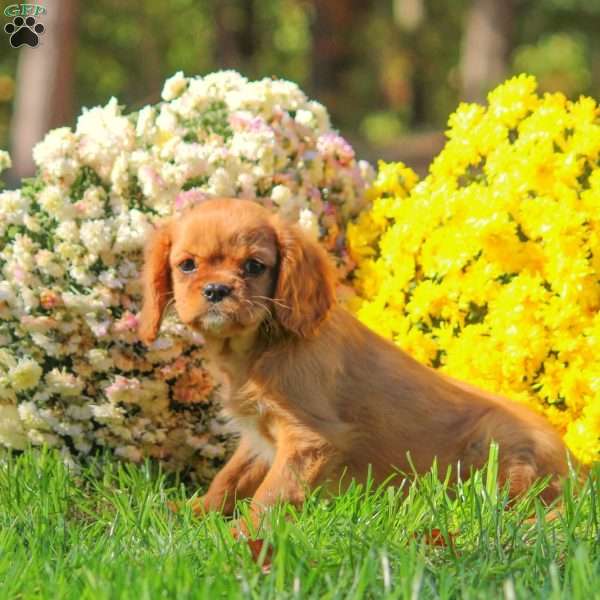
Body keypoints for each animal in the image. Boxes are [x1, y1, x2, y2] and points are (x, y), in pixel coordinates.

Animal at [138, 198, 568, 528]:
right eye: (187, 265)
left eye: (254, 267)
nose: (216, 290)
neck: (256, 349)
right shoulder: (261, 437)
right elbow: (229, 477)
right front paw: (193, 512)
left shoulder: (309, 440)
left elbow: (271, 494)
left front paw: (240, 536)